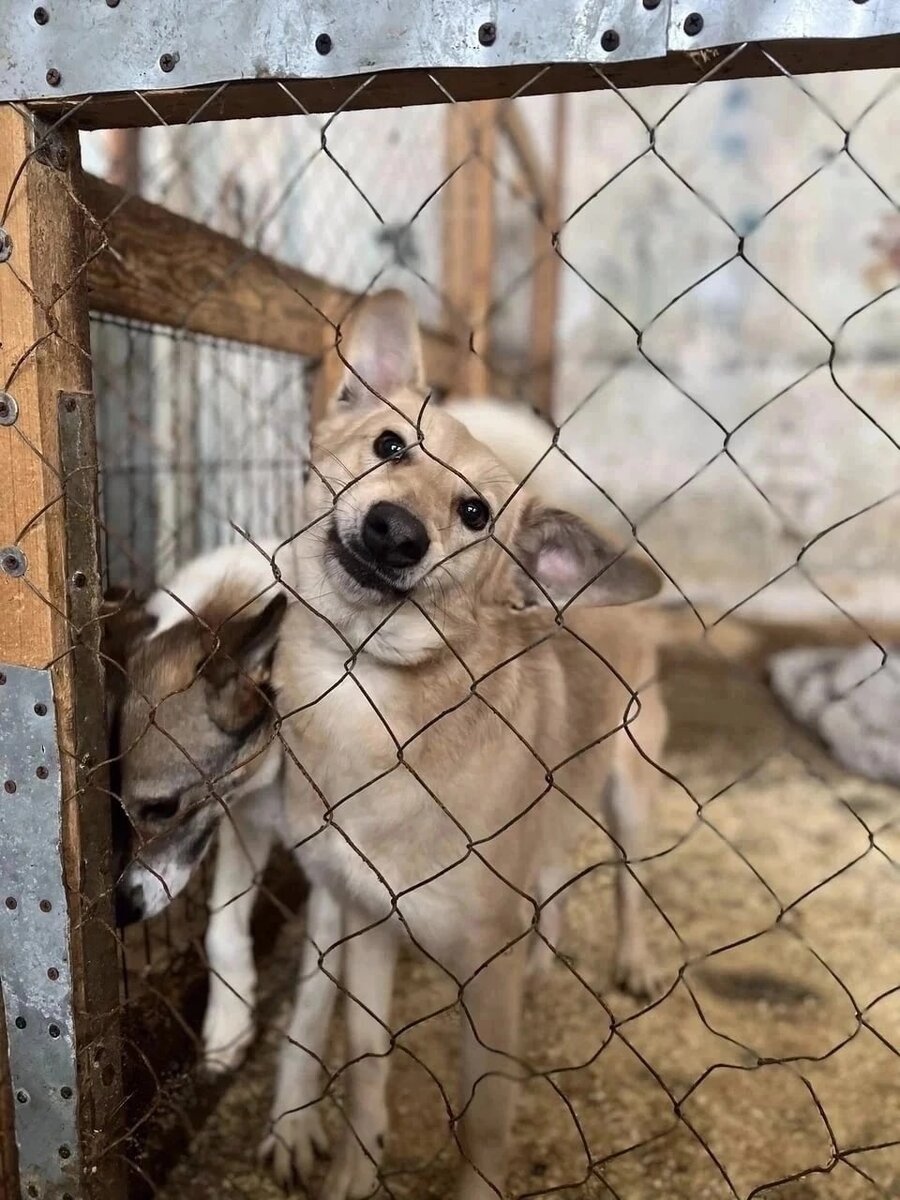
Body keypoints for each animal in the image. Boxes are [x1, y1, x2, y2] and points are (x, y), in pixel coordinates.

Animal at [103, 290, 672, 1200]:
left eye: (475, 513)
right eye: (389, 446)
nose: (396, 530)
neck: (352, 696)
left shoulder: (380, 927)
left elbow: (450, 1102)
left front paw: (295, 1124)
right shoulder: (293, 864)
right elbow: (296, 999)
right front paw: (241, 1045)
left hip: (630, 794)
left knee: (626, 880)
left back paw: (633, 960)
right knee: (551, 866)